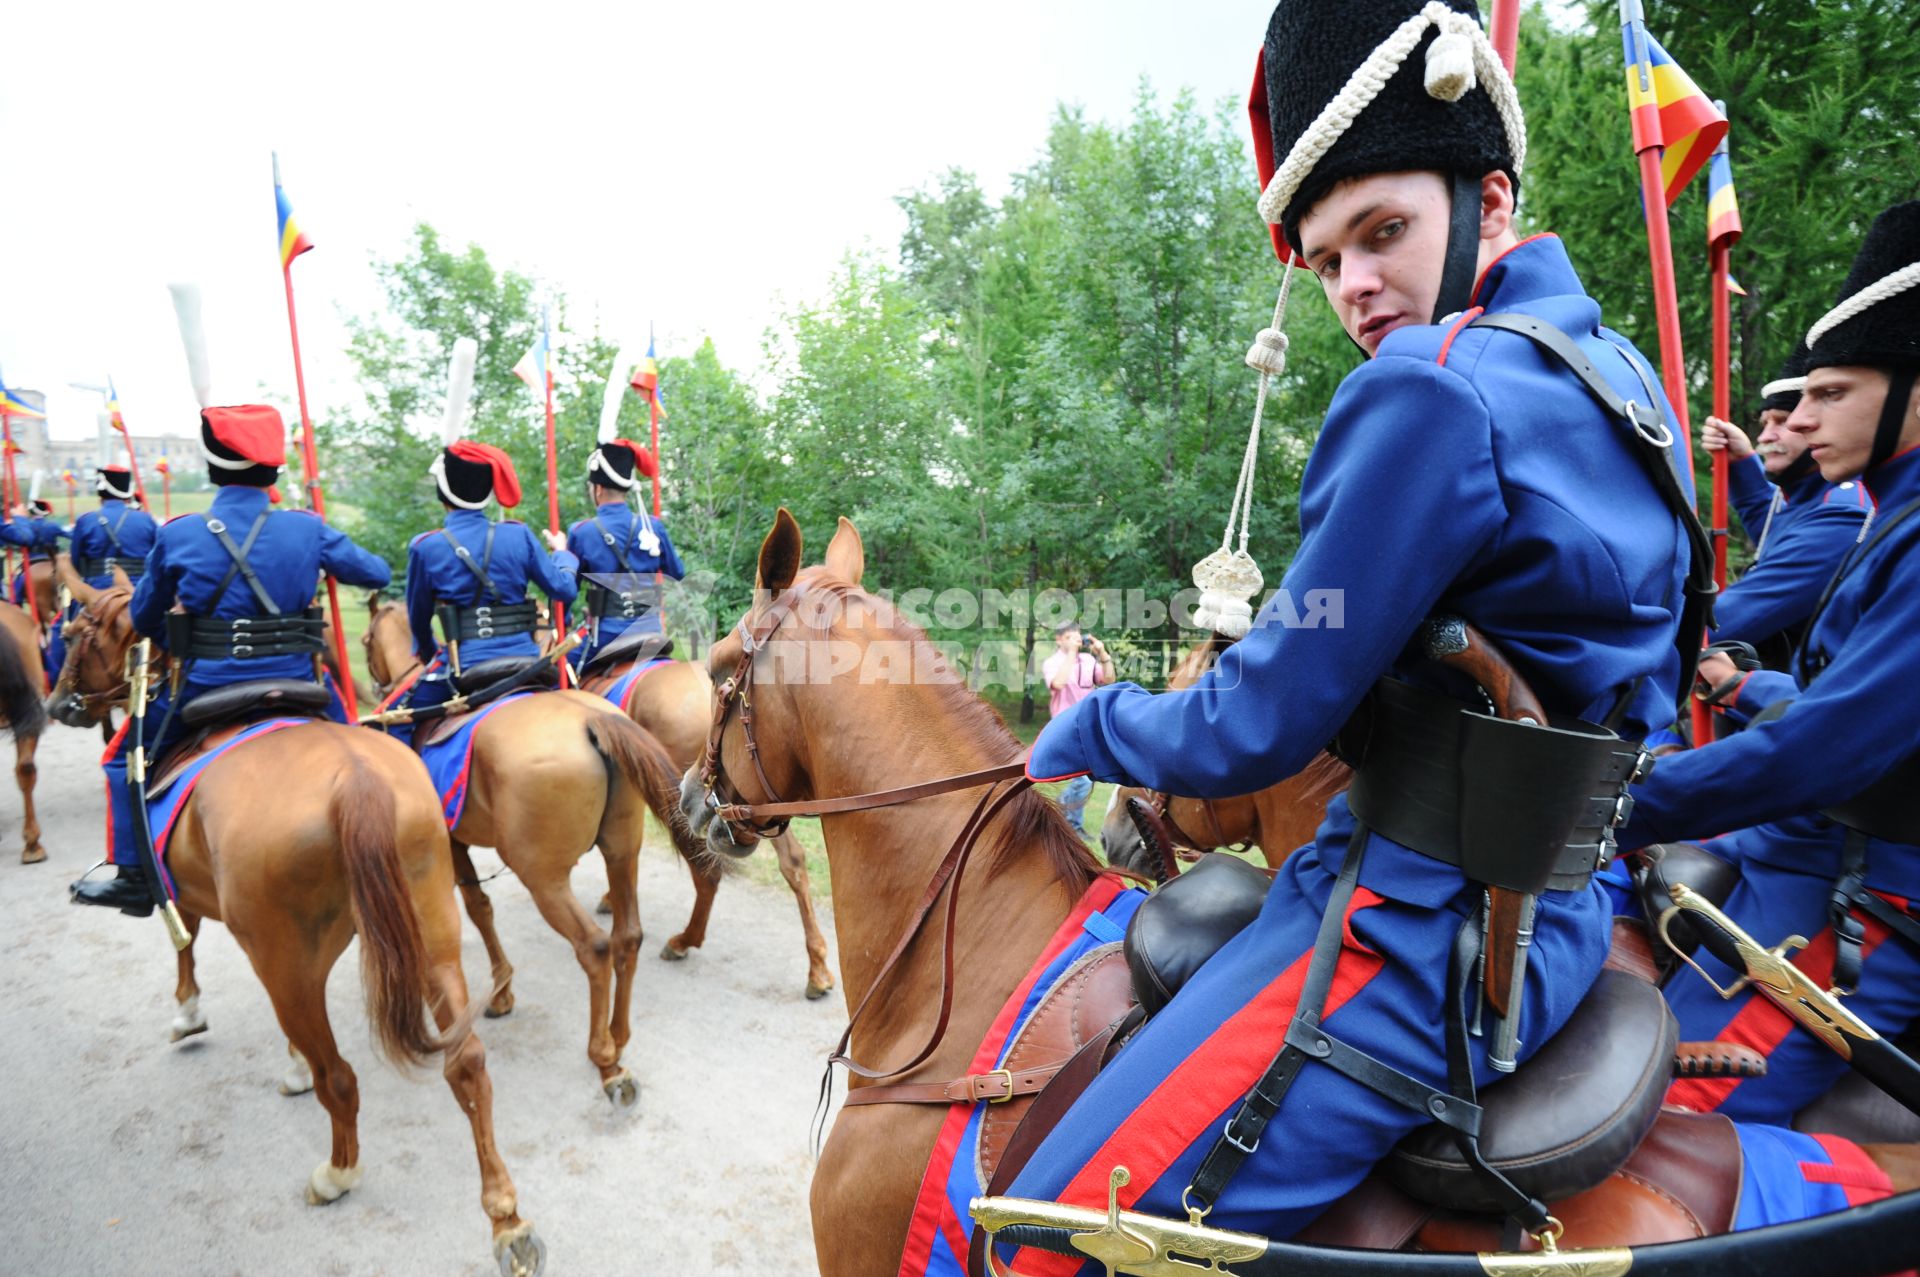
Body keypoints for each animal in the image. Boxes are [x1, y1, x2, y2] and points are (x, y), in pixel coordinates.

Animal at [54, 579, 549, 1275]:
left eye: (77, 631)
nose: (59, 701)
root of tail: (356, 780)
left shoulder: (187, 891)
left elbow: (185, 939)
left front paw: (188, 1013)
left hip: (287, 962)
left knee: (338, 1077)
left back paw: (337, 1173)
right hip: (430, 939)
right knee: (466, 1061)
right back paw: (506, 1218)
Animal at [360, 599, 714, 1106]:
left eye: (366, 640)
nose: (374, 687)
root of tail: (590, 720)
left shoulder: (451, 843)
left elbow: (478, 907)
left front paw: (502, 993)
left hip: (543, 878)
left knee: (595, 947)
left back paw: (605, 1059)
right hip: (622, 851)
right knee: (628, 936)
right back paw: (619, 1035)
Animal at [576, 622, 833, 998]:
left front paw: (611, 898)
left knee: (707, 870)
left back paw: (684, 940)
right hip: (756, 801)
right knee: (793, 861)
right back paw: (817, 969)